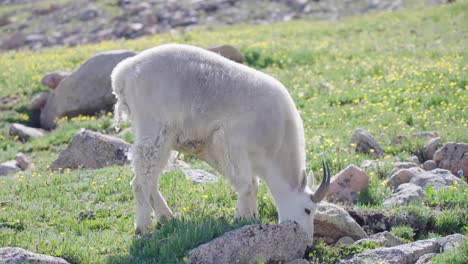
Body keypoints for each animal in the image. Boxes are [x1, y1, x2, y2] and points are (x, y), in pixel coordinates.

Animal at [110, 43, 330, 237]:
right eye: (308, 210)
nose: (307, 242)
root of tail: (123, 72)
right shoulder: (235, 143)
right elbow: (248, 183)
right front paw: (244, 218)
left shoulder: (213, 147)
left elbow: (250, 182)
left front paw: (249, 216)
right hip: (153, 128)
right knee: (141, 180)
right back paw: (144, 227)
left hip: (165, 137)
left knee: (151, 177)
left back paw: (167, 218)